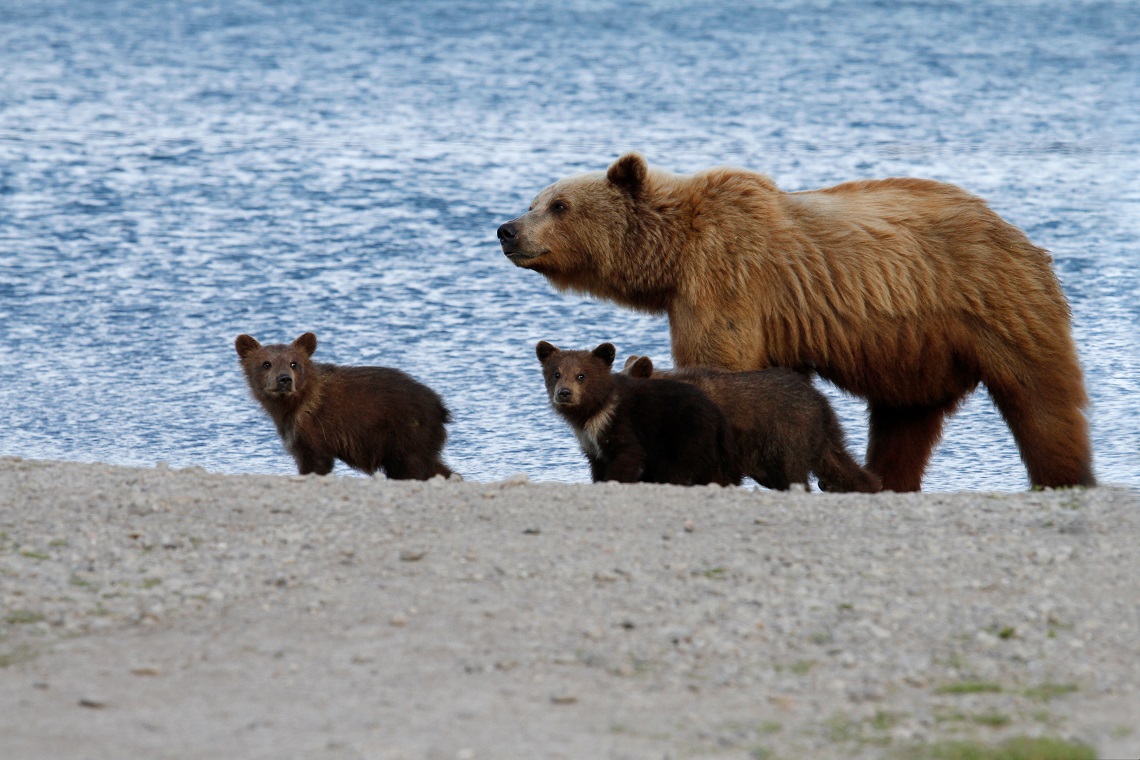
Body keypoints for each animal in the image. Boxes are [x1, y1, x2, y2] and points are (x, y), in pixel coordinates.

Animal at [499, 152, 1094, 494]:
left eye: (559, 205)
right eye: (534, 200)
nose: (507, 229)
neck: (674, 254)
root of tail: (1018, 234)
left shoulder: (727, 276)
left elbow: (718, 361)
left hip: (997, 304)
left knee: (1044, 402)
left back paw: (1065, 477)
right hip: (917, 350)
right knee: (905, 422)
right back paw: (883, 480)